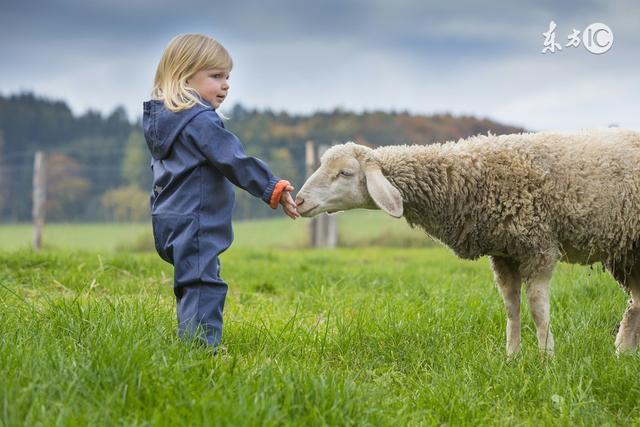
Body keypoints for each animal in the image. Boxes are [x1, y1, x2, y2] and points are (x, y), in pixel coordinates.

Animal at [296, 130, 640, 358]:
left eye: (345, 172)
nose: (298, 201)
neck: (465, 177)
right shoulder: (504, 252)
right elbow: (512, 306)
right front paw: (513, 358)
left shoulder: (538, 245)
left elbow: (537, 307)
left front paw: (546, 358)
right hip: (626, 251)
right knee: (636, 300)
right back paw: (623, 353)